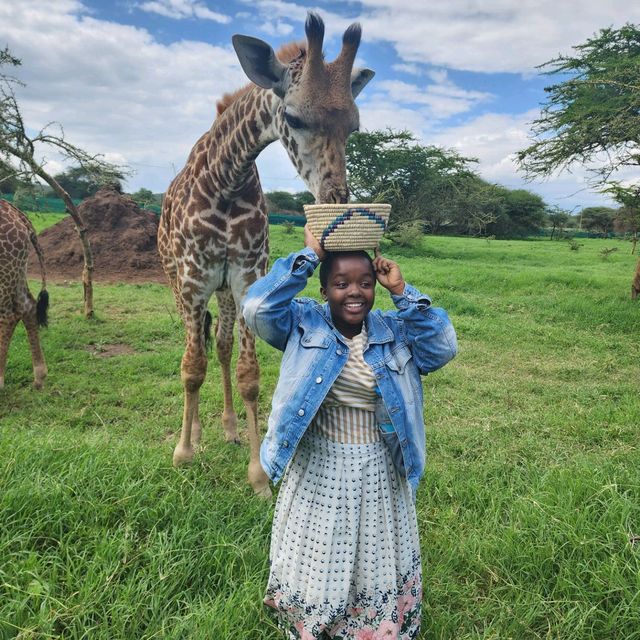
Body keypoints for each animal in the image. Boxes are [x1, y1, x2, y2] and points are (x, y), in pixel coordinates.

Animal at [157, 12, 372, 498]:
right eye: (292, 116)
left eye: (353, 126)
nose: (335, 196)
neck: (226, 177)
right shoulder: (194, 279)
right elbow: (190, 368)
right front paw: (183, 454)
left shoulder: (245, 275)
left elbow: (249, 377)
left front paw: (257, 475)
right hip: (176, 282)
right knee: (194, 348)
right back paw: (196, 431)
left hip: (223, 291)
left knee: (219, 345)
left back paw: (229, 428)